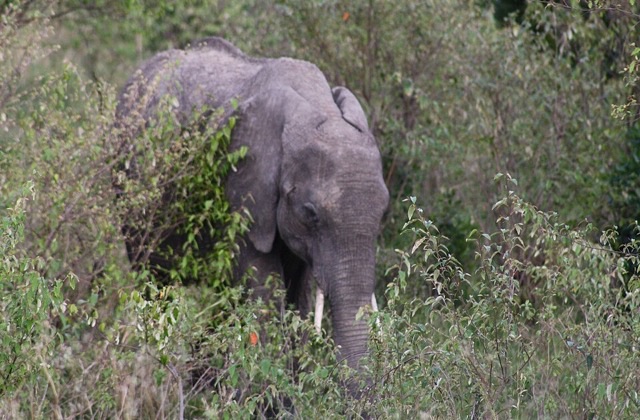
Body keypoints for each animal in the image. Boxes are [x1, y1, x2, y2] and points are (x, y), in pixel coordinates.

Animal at [115, 37, 389, 370]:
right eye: (310, 213)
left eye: (383, 213)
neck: (317, 106)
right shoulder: (241, 193)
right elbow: (265, 294)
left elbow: (296, 296)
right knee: (154, 285)